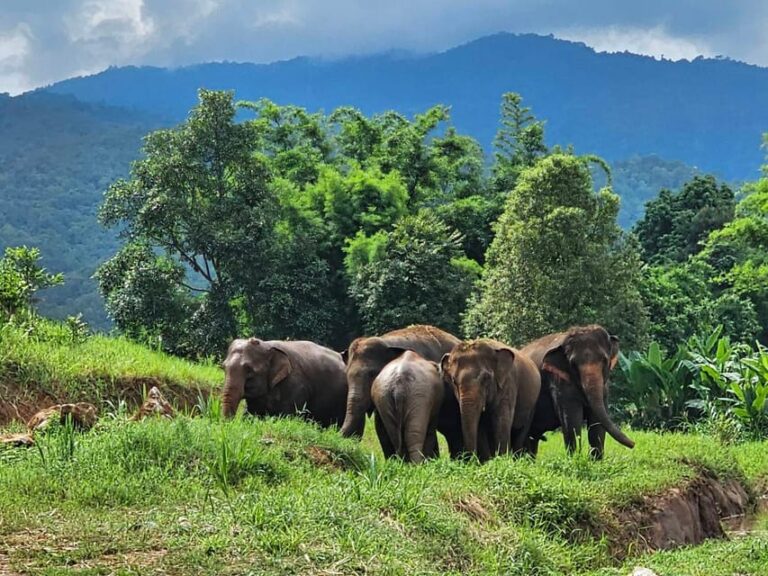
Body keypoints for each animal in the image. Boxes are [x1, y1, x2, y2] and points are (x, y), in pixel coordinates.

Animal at [520, 324, 636, 460]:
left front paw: (596, 461)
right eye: (573, 364)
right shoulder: (558, 382)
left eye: (604, 360)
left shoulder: (604, 387)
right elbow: (572, 420)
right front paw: (574, 459)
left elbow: (597, 422)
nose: (634, 444)